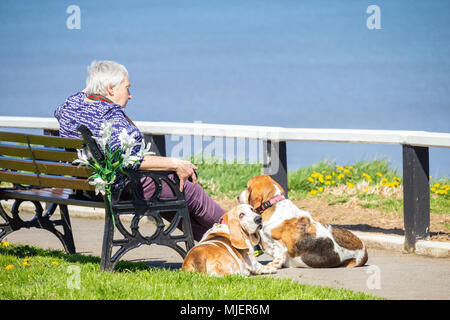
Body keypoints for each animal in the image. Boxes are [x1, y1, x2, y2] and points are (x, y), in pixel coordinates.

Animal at [237, 174, 368, 268]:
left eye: (247, 187)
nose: (237, 197)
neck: (273, 203)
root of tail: (364, 251)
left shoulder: (280, 245)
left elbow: (279, 254)